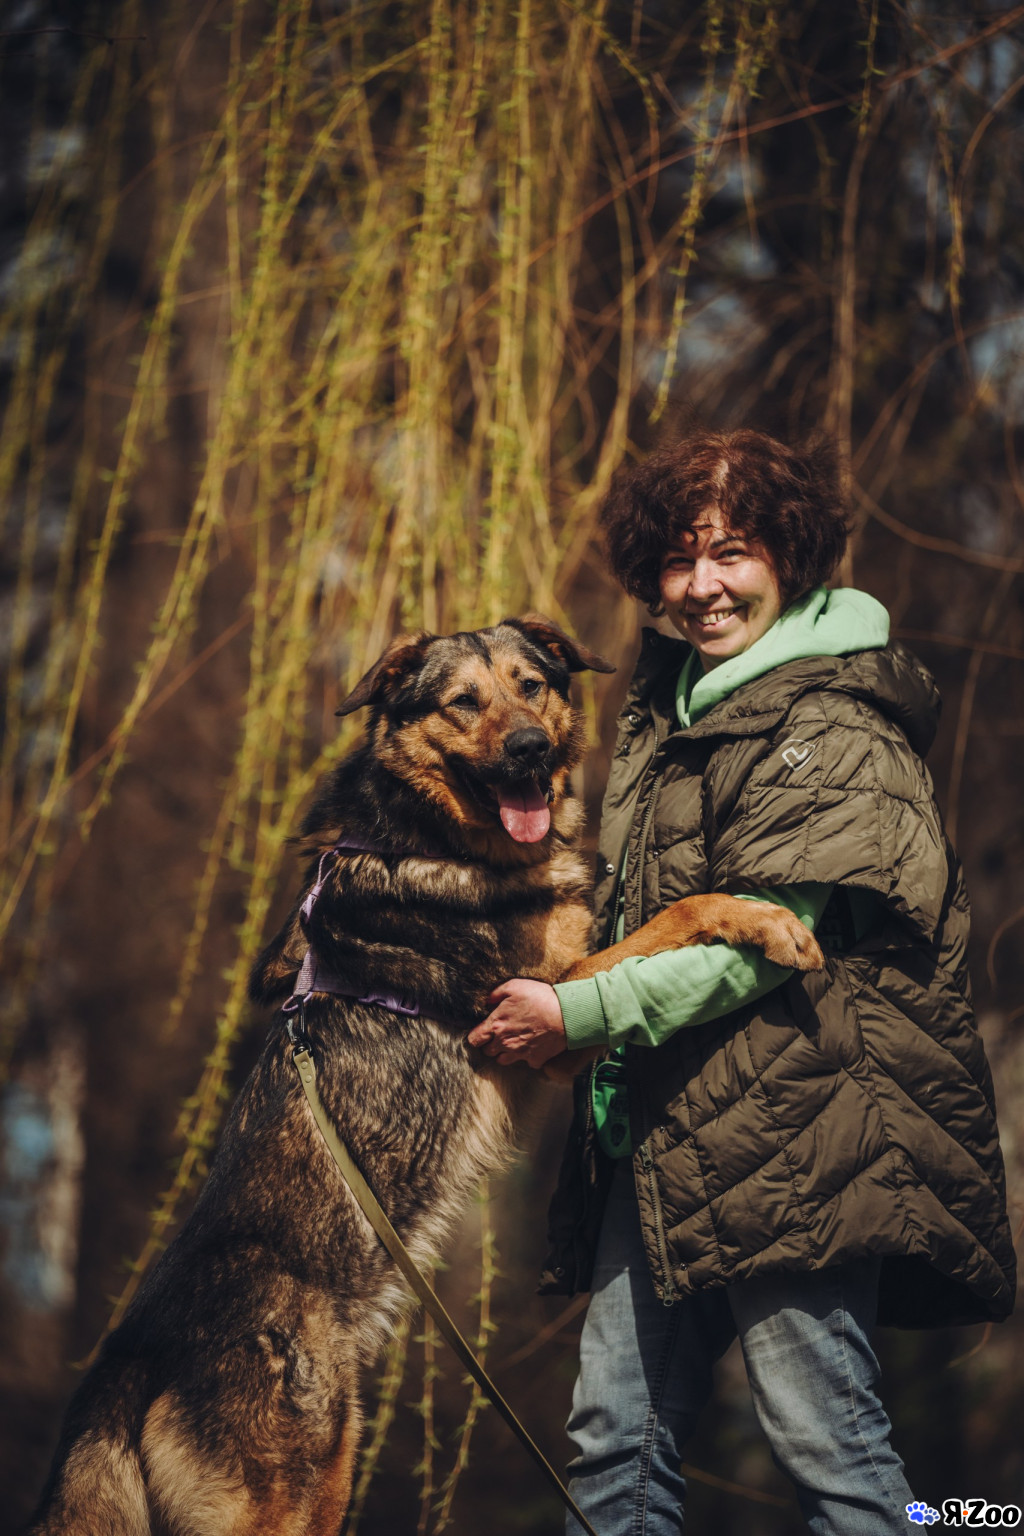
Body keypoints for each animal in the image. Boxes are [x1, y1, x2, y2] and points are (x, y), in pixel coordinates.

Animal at [28, 616, 822, 1536]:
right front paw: (771, 921)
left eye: (530, 685)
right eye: (461, 703)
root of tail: (127, 1366)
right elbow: (676, 913)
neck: (424, 835)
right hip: (303, 1486)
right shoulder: (545, 1018)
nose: (528, 748)